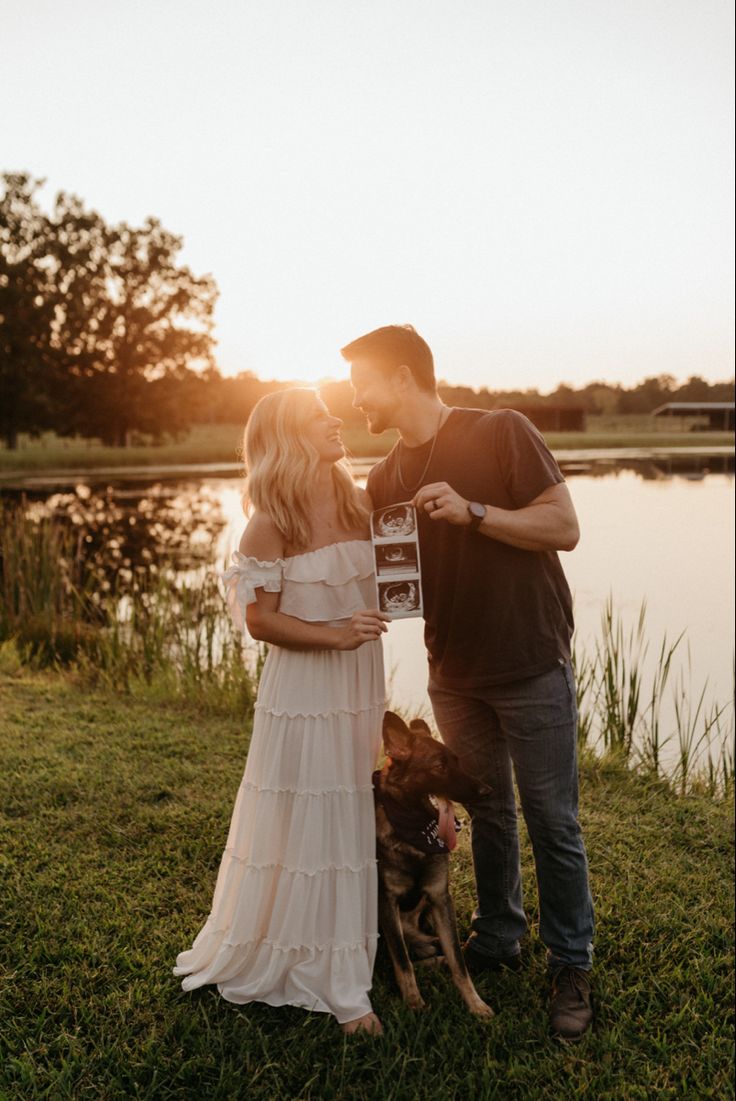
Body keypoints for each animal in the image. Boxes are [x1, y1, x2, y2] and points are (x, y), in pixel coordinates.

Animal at [376, 713, 491, 1012]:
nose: (487, 791)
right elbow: (403, 962)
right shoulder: (386, 903)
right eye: (439, 766)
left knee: (432, 947)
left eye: (458, 761)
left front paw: (475, 1005)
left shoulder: (440, 898)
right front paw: (415, 1005)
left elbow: (458, 962)